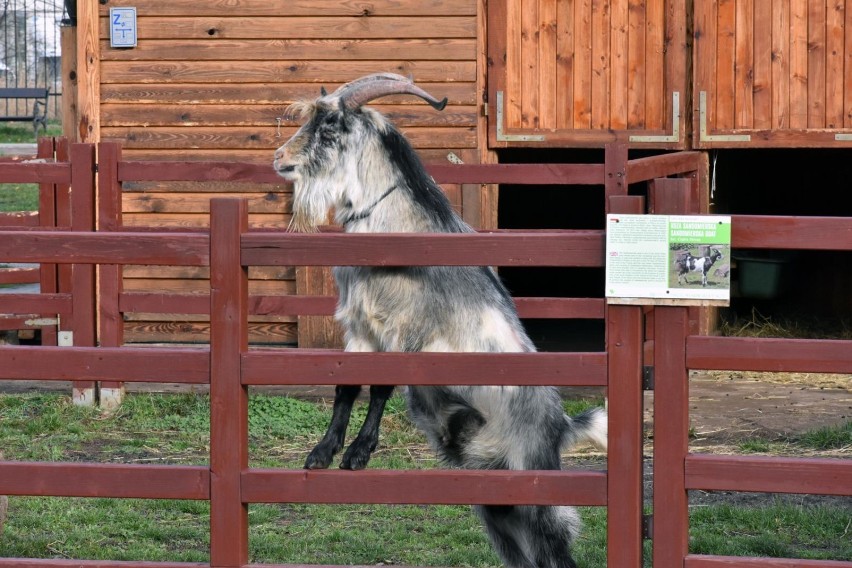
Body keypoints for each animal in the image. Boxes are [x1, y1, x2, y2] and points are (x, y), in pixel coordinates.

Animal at [272, 75, 604, 568]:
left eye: (330, 126)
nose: (279, 158)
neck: (390, 226)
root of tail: (561, 425)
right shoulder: (359, 326)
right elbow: (347, 387)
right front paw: (322, 453)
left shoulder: (400, 327)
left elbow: (381, 388)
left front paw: (357, 454)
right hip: (498, 505)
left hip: (536, 490)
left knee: (557, 548)